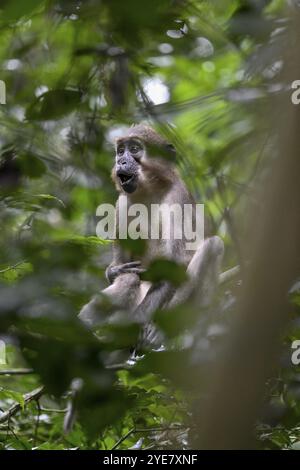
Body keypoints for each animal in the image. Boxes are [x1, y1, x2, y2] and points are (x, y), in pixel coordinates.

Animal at [78, 124, 224, 346]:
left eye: (135, 149)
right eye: (120, 151)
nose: (121, 161)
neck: (149, 191)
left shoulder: (177, 196)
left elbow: (175, 265)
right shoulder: (122, 202)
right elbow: (121, 266)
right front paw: (114, 271)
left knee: (213, 246)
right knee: (129, 279)